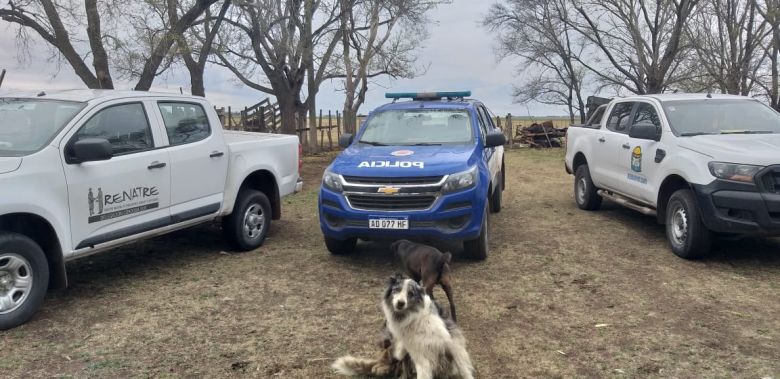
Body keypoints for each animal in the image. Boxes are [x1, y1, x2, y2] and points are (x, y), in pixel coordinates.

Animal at [332, 274, 472, 379]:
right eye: (397, 290)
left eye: (411, 293)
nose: (400, 303)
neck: (415, 318)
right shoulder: (419, 354)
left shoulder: (451, 342)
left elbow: (463, 368)